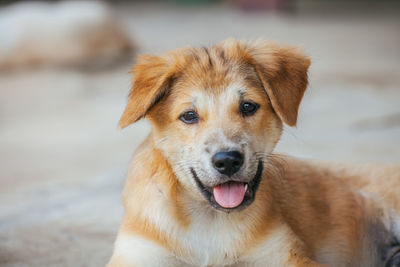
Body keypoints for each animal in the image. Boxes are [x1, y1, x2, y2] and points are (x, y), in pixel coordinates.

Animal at [107, 38, 400, 266]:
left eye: (248, 106)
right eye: (189, 116)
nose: (227, 161)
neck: (209, 222)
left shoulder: (288, 257)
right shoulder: (137, 254)